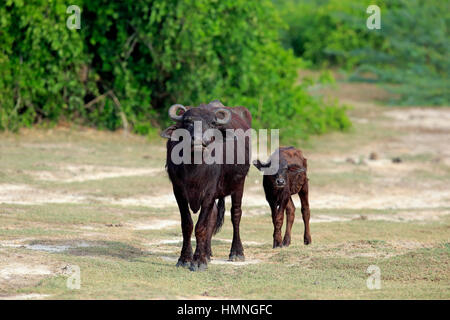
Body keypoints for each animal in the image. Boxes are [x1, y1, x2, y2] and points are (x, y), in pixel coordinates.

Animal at [161, 99, 253, 270]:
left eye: (211, 124)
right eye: (187, 122)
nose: (198, 141)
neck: (194, 166)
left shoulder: (209, 192)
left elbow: (201, 227)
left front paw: (198, 261)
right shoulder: (178, 191)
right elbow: (187, 224)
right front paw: (185, 258)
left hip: (239, 183)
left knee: (236, 215)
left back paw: (236, 252)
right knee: (214, 216)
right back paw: (208, 253)